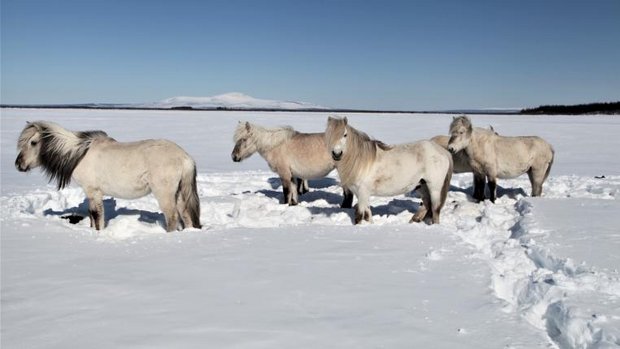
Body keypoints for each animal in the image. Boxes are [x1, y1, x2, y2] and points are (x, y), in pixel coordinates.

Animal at [15, 120, 201, 231]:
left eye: (33, 142)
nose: (18, 164)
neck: (79, 154)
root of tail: (185, 158)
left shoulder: (93, 191)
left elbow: (97, 215)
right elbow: (92, 215)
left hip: (165, 194)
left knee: (172, 217)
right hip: (179, 193)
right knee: (185, 215)